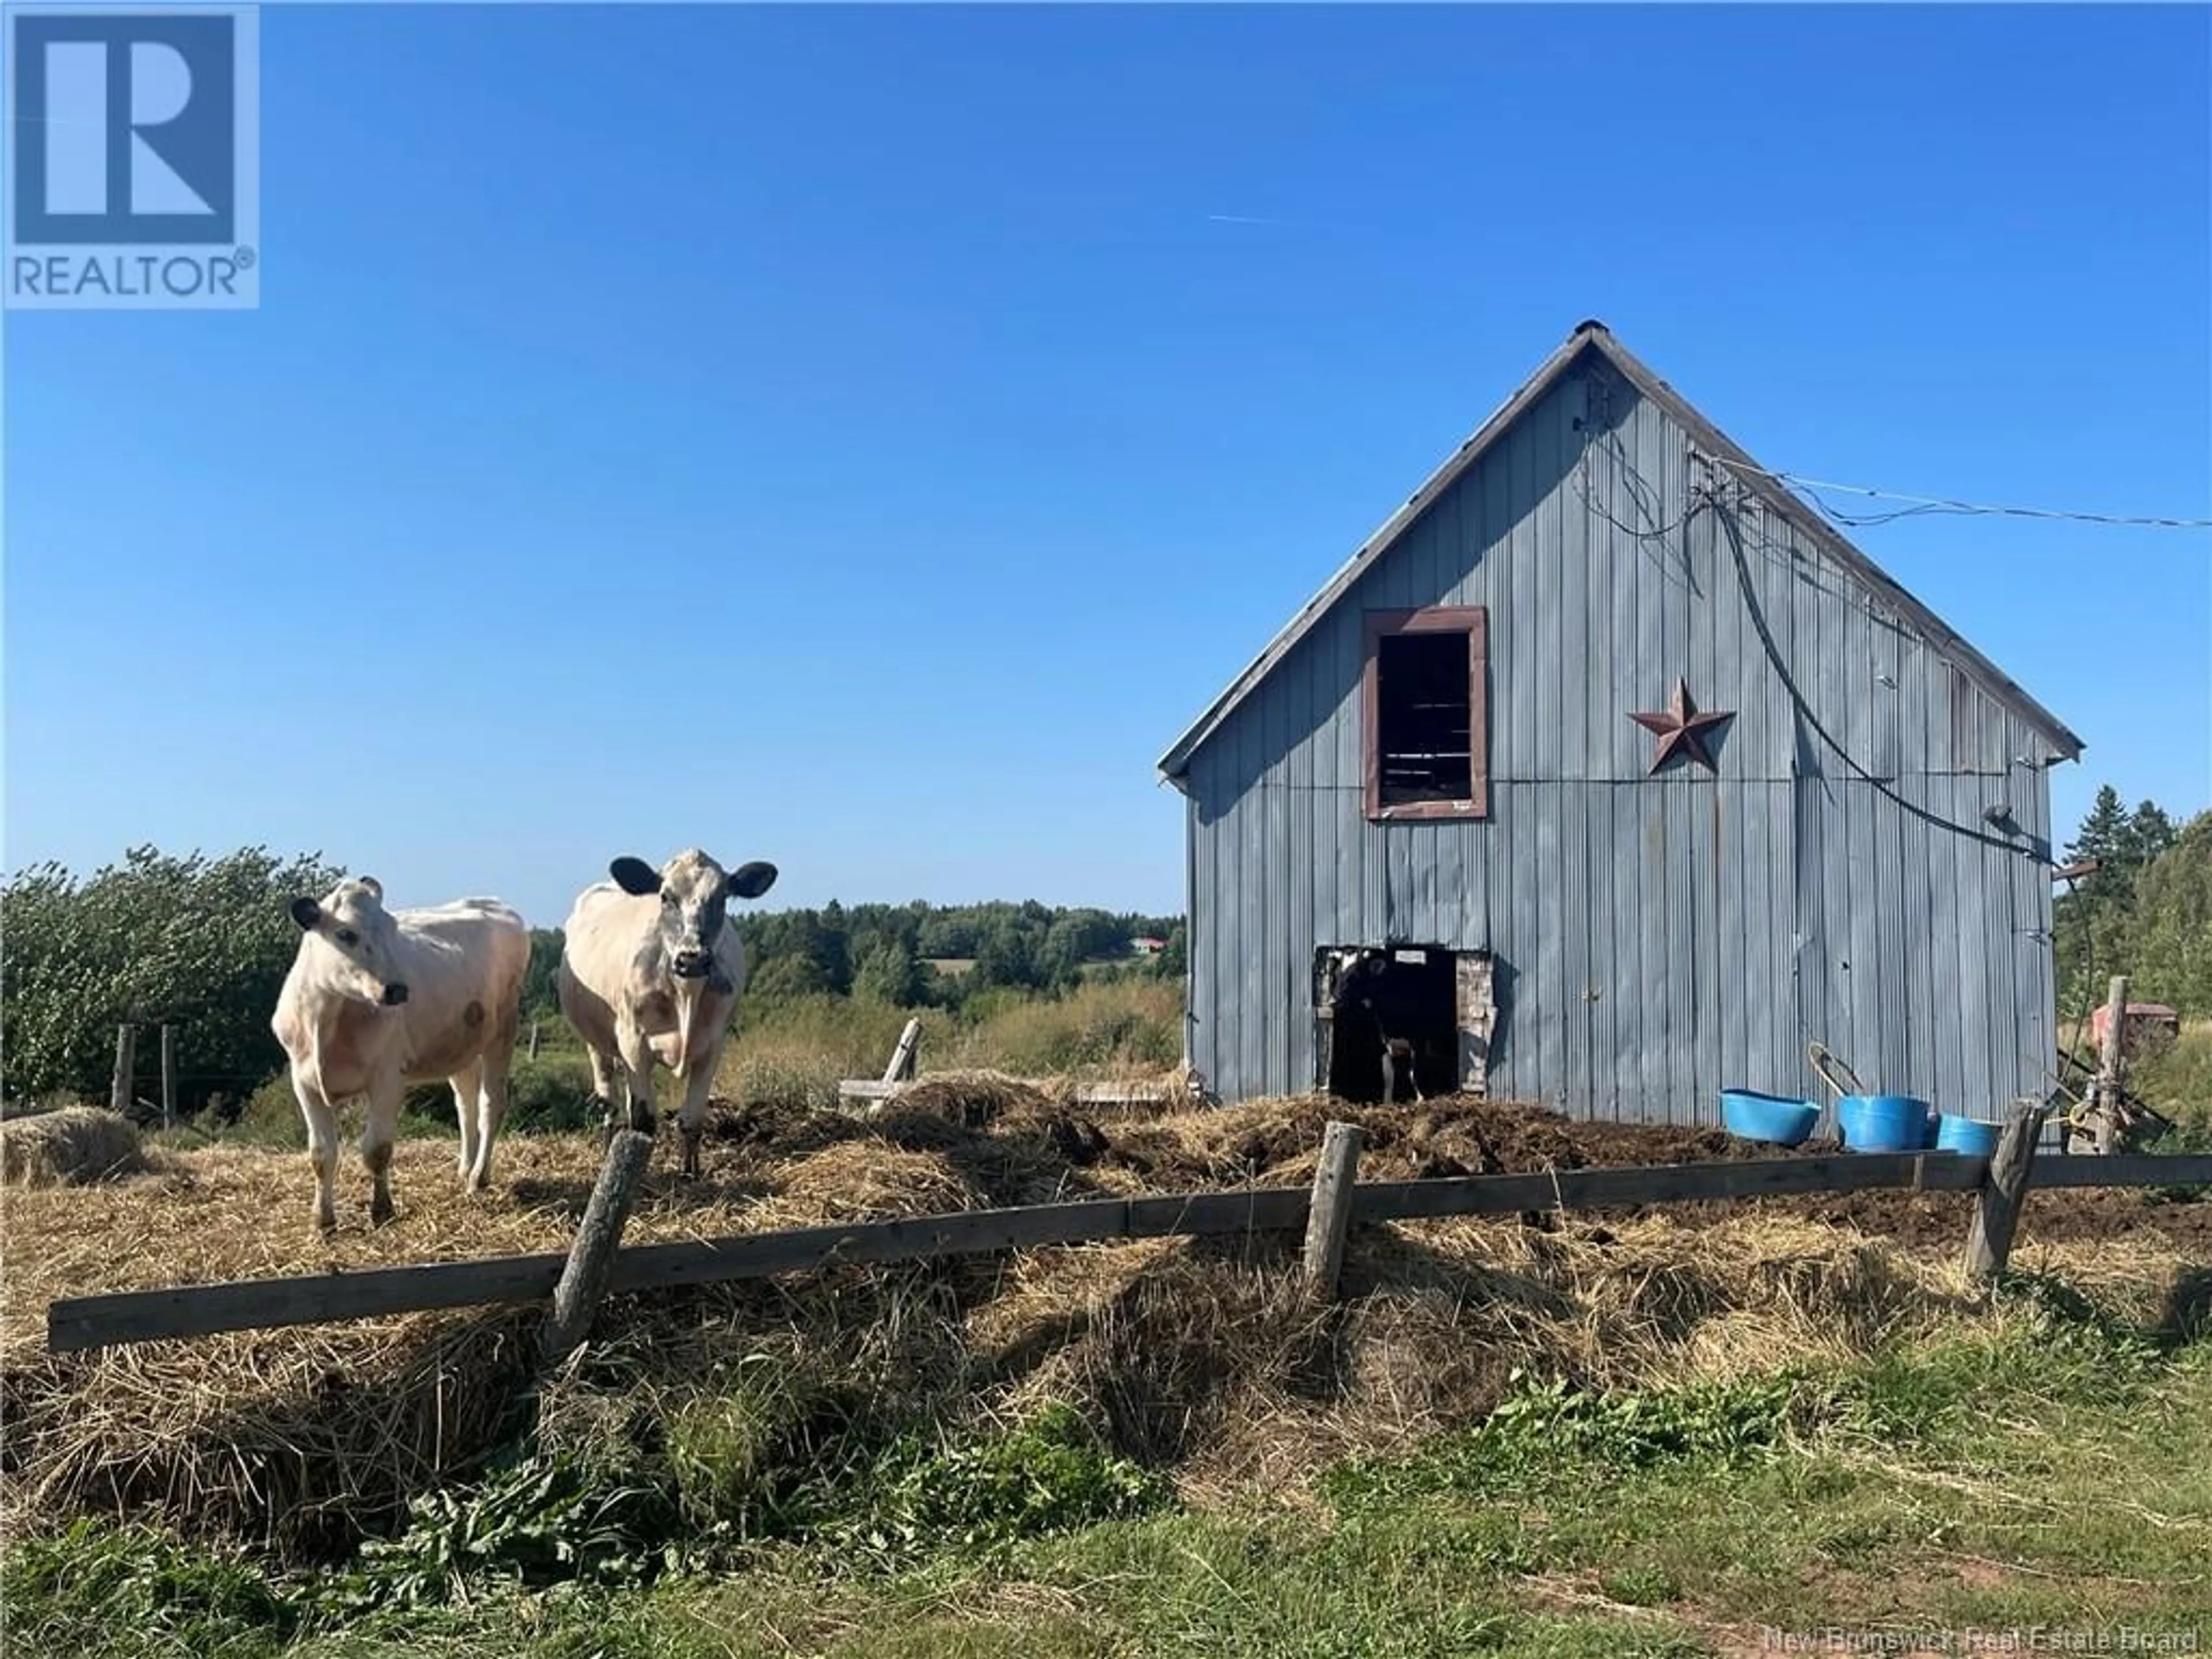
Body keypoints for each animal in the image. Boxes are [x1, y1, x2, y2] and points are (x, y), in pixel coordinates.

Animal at [272, 885, 531, 1238]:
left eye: (392, 927)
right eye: (345, 934)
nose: (396, 989)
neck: (327, 1017)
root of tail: (492, 902)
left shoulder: (388, 1077)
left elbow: (377, 1150)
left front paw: (382, 1210)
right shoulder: (304, 1081)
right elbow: (322, 1154)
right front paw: (323, 1221)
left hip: (504, 1030)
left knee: (491, 1105)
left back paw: (479, 1178)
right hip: (461, 1045)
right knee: (466, 1106)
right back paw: (464, 1169)